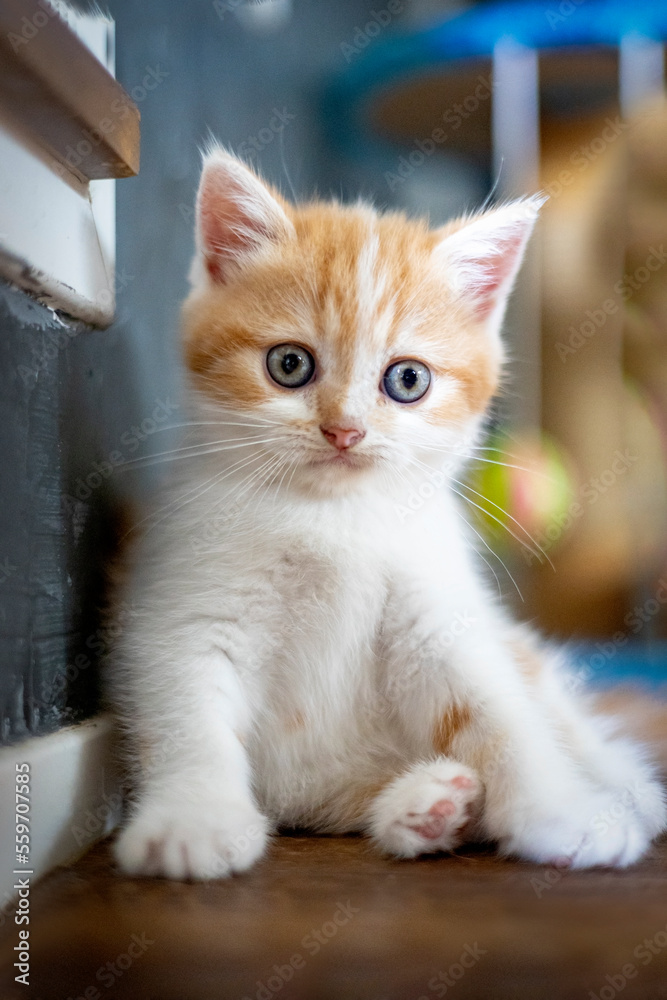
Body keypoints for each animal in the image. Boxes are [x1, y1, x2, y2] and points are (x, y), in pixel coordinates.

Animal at [109, 146, 667, 876]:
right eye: (289, 365)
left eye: (407, 380)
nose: (344, 431)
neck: (334, 517)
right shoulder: (183, 609)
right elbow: (187, 716)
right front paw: (192, 820)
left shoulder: (440, 618)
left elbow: (500, 714)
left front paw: (564, 809)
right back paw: (429, 804)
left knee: (581, 728)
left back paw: (616, 788)